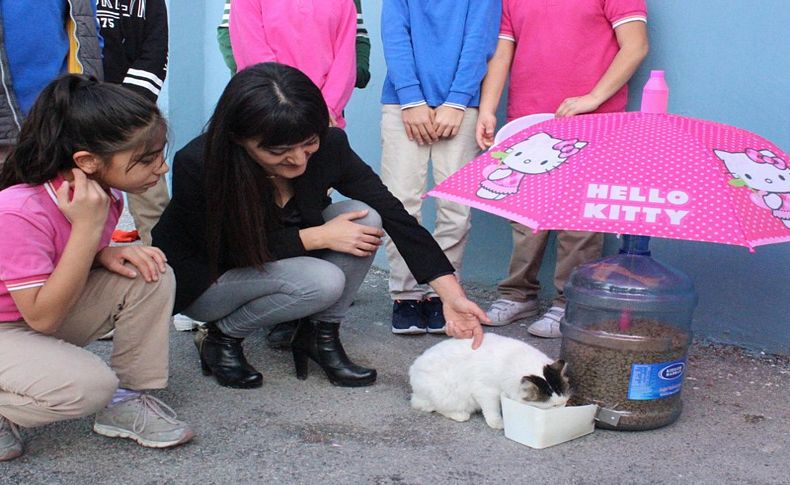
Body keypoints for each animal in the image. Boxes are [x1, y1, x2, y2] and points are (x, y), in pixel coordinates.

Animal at [408, 332, 568, 428]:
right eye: (554, 406)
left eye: (564, 402)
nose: (561, 411)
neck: (510, 361)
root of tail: (413, 368)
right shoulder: (485, 391)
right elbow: (492, 409)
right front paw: (498, 423)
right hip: (447, 395)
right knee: (430, 407)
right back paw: (460, 415)